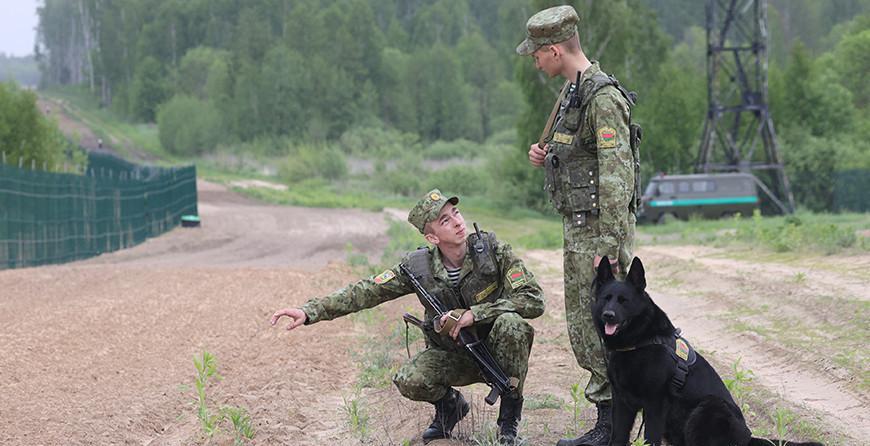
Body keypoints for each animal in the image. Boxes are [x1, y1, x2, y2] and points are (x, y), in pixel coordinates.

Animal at [592, 256, 824, 446]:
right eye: (606, 298)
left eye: (624, 301)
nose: (608, 315)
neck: (640, 342)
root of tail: (748, 438)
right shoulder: (622, 402)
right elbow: (618, 436)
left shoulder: (655, 404)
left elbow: (650, 438)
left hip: (707, 407)